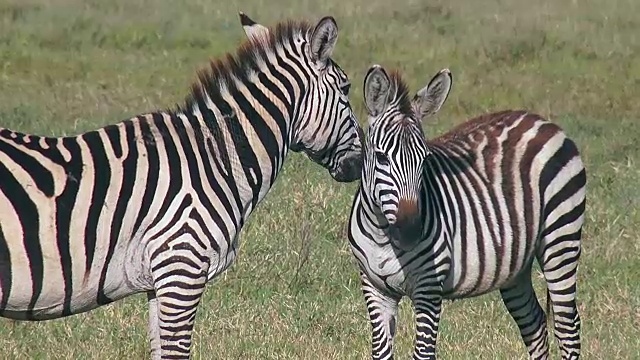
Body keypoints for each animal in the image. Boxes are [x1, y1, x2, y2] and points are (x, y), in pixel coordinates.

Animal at [0, 12, 362, 358]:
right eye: (346, 89)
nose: (359, 165)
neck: (215, 157)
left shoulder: (159, 281)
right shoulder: (181, 266)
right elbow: (177, 351)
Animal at [348, 64, 588, 360]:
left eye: (425, 159)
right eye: (381, 158)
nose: (411, 231)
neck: (382, 233)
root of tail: (543, 122)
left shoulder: (428, 289)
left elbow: (423, 352)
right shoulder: (375, 289)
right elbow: (381, 352)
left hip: (561, 238)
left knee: (567, 326)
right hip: (516, 265)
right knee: (535, 322)